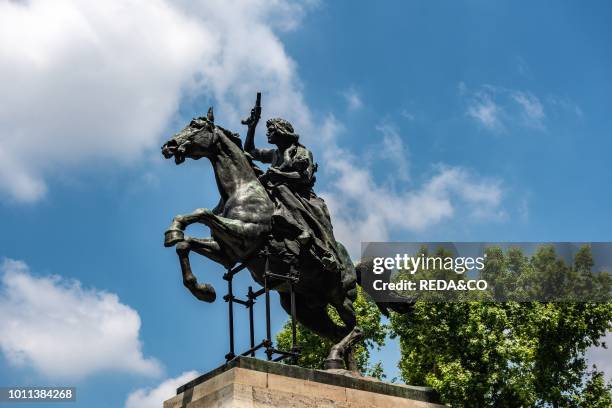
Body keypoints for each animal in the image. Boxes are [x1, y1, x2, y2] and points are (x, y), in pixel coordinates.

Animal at [161, 108, 364, 370]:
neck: (241, 188)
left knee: (356, 329)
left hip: (340, 296)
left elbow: (202, 212)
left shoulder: (245, 232)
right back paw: (342, 367)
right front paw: (203, 290)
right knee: (340, 332)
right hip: (304, 308)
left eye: (196, 126)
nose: (169, 145)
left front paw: (175, 229)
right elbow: (185, 244)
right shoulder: (228, 252)